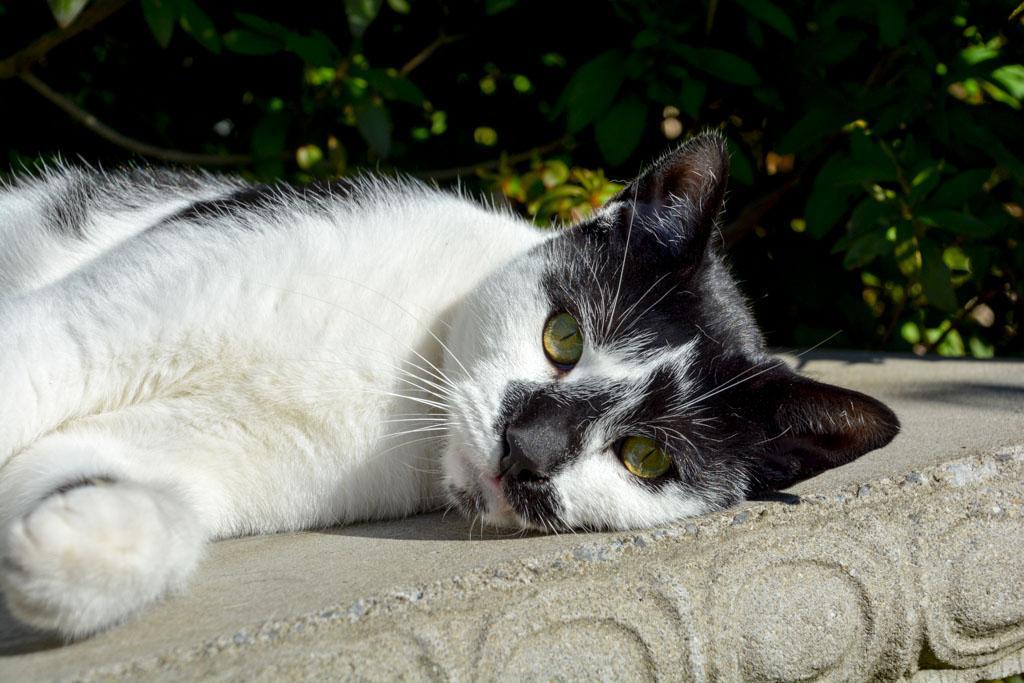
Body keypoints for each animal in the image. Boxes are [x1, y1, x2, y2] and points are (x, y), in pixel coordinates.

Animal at [0, 133, 897, 643]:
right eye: (562, 336)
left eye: (644, 456)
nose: (527, 447)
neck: (396, 390)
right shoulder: (92, 325)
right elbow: (32, 370)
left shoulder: (192, 454)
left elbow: (129, 497)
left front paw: (62, 551)